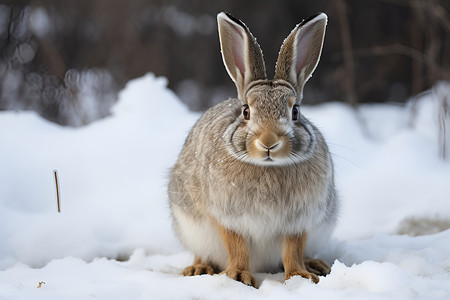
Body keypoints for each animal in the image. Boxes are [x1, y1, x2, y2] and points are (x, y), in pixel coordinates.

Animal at [169, 12, 338, 288]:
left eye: (295, 111)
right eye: (246, 111)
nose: (268, 141)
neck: (267, 167)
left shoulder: (298, 222)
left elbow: (293, 250)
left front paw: (300, 277)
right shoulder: (228, 218)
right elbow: (237, 247)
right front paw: (238, 276)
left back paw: (316, 264)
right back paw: (198, 269)